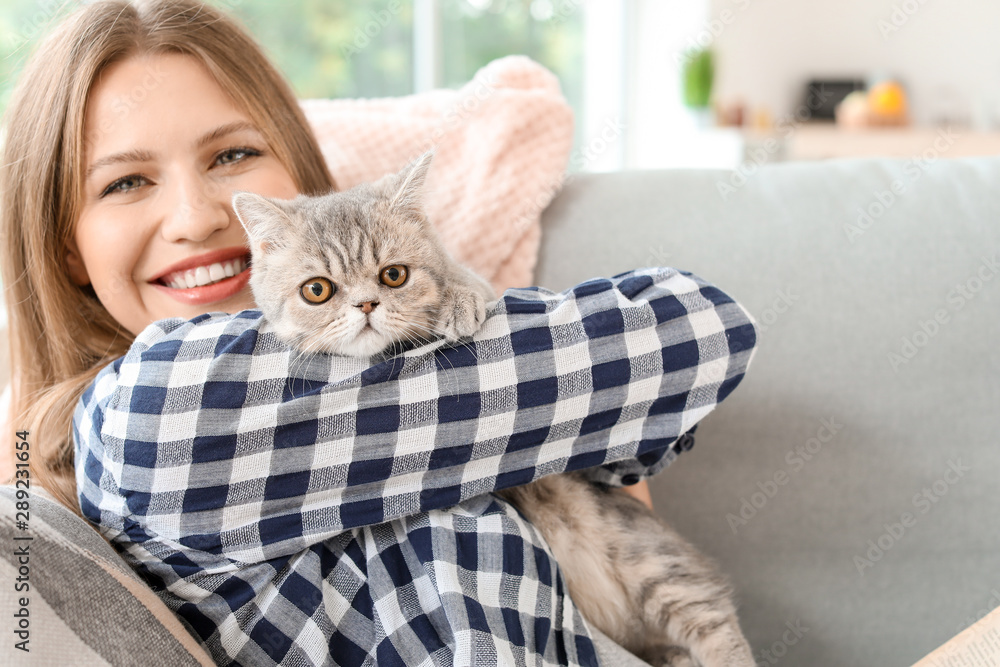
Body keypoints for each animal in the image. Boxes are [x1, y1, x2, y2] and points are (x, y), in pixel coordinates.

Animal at [232, 153, 752, 667]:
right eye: (317, 290)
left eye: (393, 275)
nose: (365, 304)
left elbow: (474, 284)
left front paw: (459, 300)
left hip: (655, 566)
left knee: (720, 631)